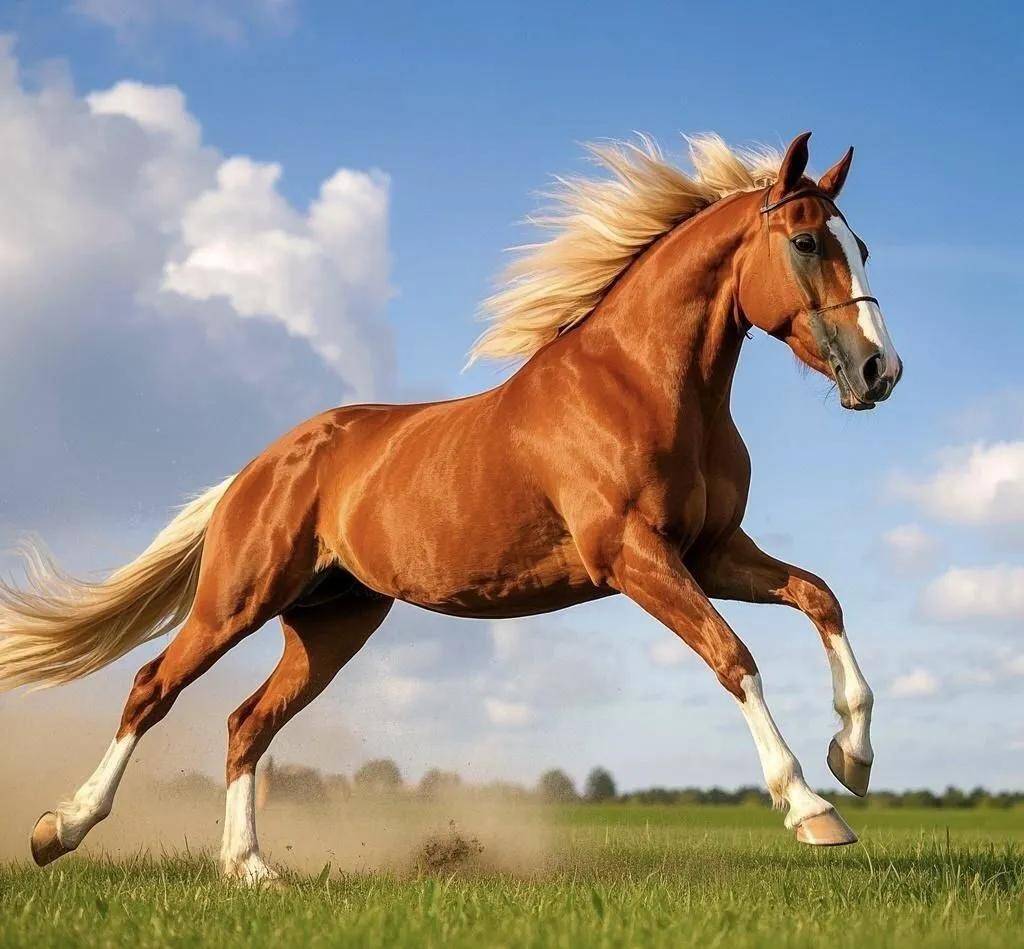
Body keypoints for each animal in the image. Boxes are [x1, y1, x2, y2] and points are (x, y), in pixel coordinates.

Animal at [0, 130, 902, 882]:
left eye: (860, 245)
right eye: (807, 241)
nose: (880, 371)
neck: (645, 385)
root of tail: (257, 468)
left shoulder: (712, 551)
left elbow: (821, 596)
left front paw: (852, 758)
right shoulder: (634, 556)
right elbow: (733, 656)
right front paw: (812, 808)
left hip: (331, 623)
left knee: (246, 723)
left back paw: (249, 868)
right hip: (236, 601)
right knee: (152, 687)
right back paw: (60, 829)